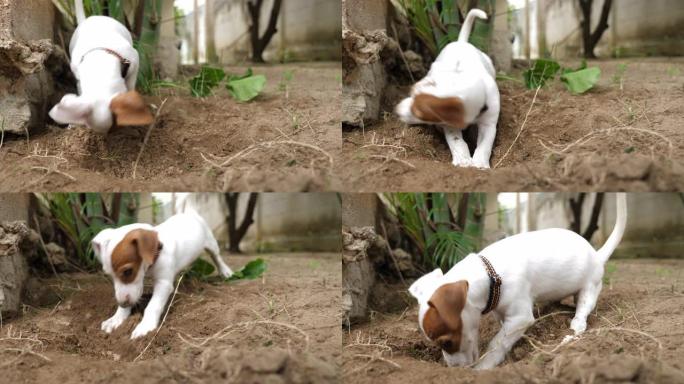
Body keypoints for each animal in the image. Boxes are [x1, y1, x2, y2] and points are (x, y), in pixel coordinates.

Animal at [91, 210, 232, 340]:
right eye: (109, 275)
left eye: (128, 271)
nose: (122, 304)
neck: (157, 249)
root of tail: (188, 212)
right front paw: (117, 318)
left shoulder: (163, 284)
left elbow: (153, 306)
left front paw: (145, 326)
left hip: (211, 242)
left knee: (216, 257)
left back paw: (226, 271)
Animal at [396, 8, 496, 168]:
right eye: (412, 94)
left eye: (419, 112)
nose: (397, 110)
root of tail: (461, 42)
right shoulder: (449, 124)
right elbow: (457, 141)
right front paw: (463, 159)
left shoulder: (489, 123)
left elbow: (485, 144)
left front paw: (480, 164)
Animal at [408, 194, 628, 370]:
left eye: (446, 343)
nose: (453, 369)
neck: (491, 274)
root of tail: (597, 255)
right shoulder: (501, 312)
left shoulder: (520, 317)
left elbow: (497, 342)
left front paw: (484, 366)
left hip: (589, 290)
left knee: (582, 311)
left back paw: (574, 327)